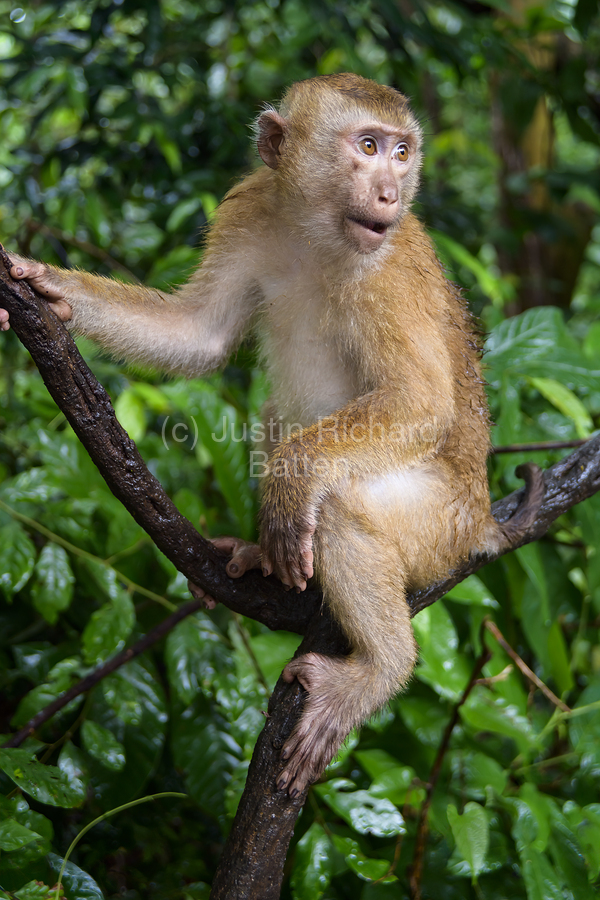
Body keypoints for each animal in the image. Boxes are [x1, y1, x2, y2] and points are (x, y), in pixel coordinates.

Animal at [0, 74, 544, 798]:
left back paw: (380, 667)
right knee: (272, 416)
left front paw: (289, 489)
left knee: (343, 504)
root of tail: (482, 520)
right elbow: (199, 334)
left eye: (401, 152)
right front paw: (50, 288)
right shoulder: (252, 206)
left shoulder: (388, 270)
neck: (319, 232)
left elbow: (421, 401)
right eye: (368, 146)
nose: (390, 193)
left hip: (441, 527)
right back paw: (267, 556)